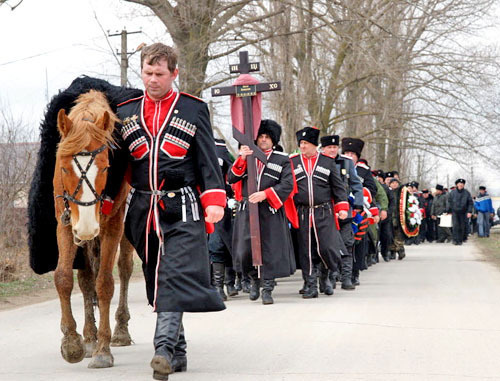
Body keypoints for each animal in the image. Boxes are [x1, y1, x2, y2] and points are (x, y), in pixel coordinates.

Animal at [54, 90, 134, 366]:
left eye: (107, 167)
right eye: (64, 167)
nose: (88, 226)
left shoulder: (112, 226)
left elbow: (105, 283)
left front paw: (103, 349)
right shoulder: (65, 222)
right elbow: (64, 278)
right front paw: (72, 341)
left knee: (124, 269)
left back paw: (119, 330)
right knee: (86, 279)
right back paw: (89, 337)